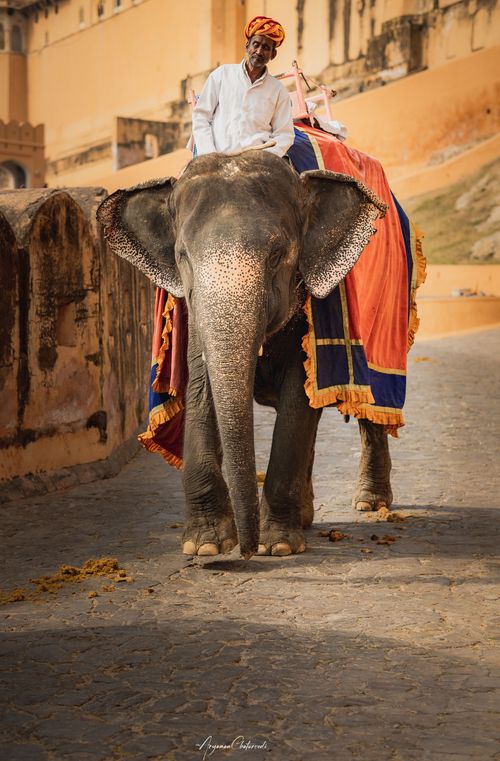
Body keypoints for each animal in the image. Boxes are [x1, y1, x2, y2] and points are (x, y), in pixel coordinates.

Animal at [97, 149, 391, 560]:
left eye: (278, 254)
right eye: (183, 257)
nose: (245, 551)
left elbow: (299, 398)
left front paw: (277, 545)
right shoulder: (194, 313)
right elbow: (201, 391)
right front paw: (205, 546)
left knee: (373, 406)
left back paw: (369, 503)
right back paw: (306, 517)